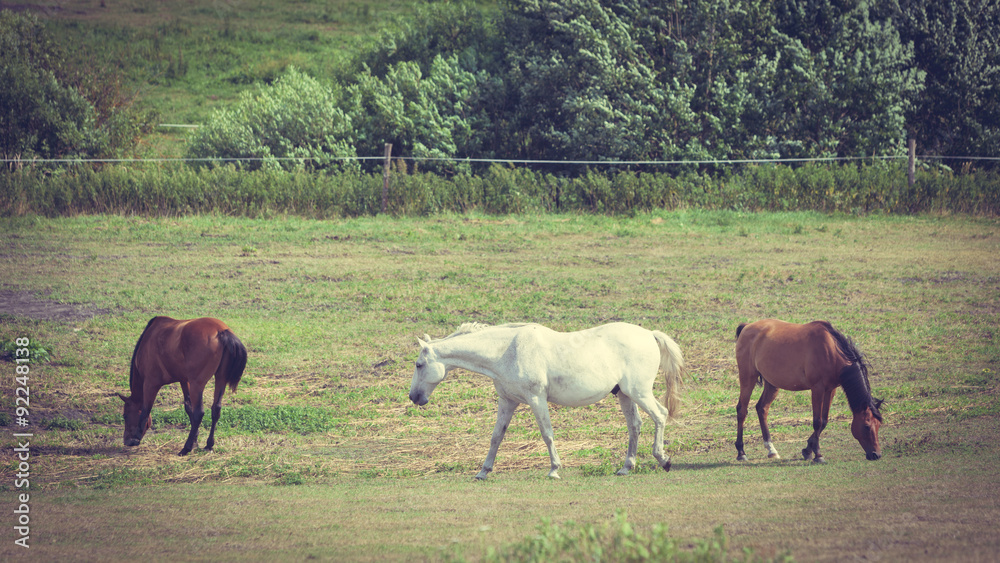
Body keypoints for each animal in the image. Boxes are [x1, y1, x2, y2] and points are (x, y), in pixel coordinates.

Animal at [117, 318, 248, 458]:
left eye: (125, 416)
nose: (126, 441)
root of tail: (221, 331)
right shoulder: (184, 381)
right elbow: (188, 407)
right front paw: (195, 439)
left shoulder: (150, 384)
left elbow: (145, 411)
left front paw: (136, 437)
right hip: (220, 379)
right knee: (215, 409)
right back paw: (209, 444)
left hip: (197, 384)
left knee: (199, 413)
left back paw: (186, 448)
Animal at [410, 322, 684, 480]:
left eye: (419, 364)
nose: (414, 397)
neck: (506, 351)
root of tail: (649, 334)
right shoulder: (507, 401)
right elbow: (496, 436)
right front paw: (483, 472)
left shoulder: (536, 399)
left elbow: (547, 434)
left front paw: (554, 469)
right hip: (625, 395)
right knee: (635, 426)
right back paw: (626, 467)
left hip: (639, 392)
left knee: (660, 415)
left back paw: (664, 459)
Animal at [736, 320, 884, 464]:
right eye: (866, 426)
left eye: (878, 425)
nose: (876, 454)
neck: (831, 350)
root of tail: (747, 326)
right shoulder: (817, 388)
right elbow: (817, 421)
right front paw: (818, 455)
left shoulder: (830, 389)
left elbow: (823, 421)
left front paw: (808, 450)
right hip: (748, 378)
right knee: (742, 410)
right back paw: (741, 452)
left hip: (772, 384)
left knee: (762, 408)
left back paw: (771, 450)